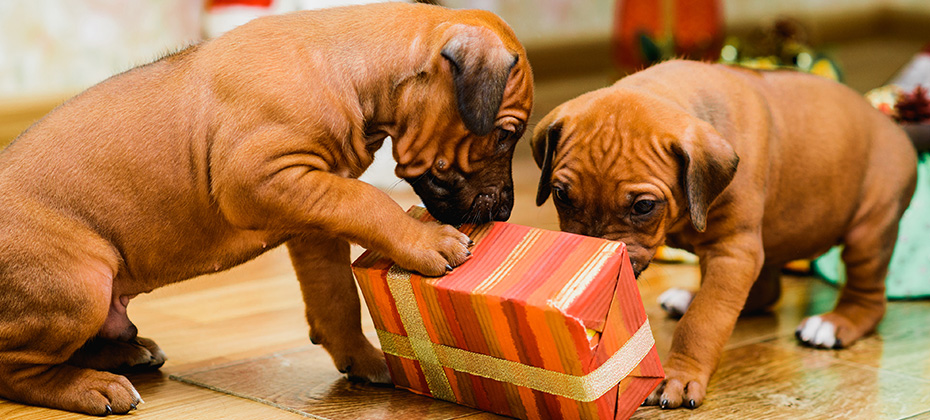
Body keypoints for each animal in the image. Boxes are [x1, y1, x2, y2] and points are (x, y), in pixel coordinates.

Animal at [0, 3, 528, 416]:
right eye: (505, 134)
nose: (505, 211)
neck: (350, 70)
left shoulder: (317, 210)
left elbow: (336, 294)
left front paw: (361, 357)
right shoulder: (261, 178)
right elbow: (372, 200)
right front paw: (427, 242)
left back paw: (125, 352)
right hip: (81, 285)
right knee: (17, 369)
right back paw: (91, 386)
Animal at [528, 60, 912, 410]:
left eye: (643, 206)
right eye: (561, 195)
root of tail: (893, 127)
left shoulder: (733, 252)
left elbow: (705, 319)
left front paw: (678, 376)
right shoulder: (737, 253)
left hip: (869, 231)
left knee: (869, 298)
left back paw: (834, 324)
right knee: (764, 290)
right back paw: (688, 297)